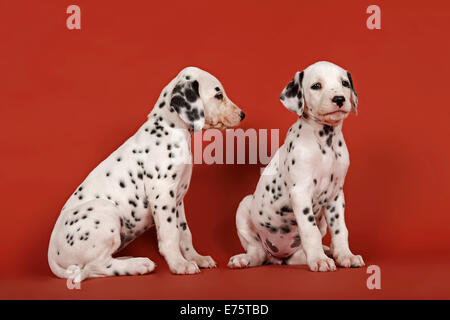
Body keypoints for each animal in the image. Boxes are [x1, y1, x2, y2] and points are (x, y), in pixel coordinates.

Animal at [48, 66, 244, 282]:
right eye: (218, 95)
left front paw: (196, 258)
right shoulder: (163, 195)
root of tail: (52, 256)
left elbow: (184, 233)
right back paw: (138, 265)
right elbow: (170, 234)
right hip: (105, 210)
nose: (242, 114)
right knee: (96, 266)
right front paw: (179, 264)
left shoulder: (178, 200)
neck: (170, 129)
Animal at [229, 61, 366, 272]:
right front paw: (319, 260)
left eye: (344, 83)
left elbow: (340, 229)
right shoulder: (301, 192)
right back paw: (244, 259)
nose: (339, 99)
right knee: (257, 252)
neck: (326, 142)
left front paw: (345, 255)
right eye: (316, 86)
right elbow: (310, 230)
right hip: (245, 207)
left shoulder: (335, 196)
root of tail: (278, 257)